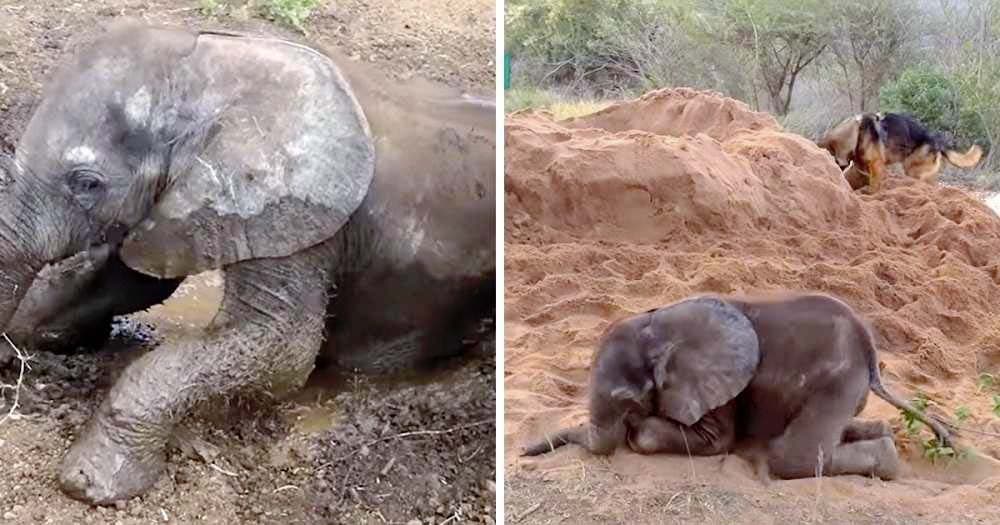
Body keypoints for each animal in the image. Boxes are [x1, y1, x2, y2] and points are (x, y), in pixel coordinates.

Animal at [0, 21, 494, 504]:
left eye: (87, 183)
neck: (212, 64)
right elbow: (130, 281)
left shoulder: (298, 216)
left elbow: (283, 350)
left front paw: (89, 483)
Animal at [520, 292, 948, 482]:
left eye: (626, 401)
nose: (524, 452)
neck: (658, 327)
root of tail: (870, 353)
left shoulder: (719, 388)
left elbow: (716, 441)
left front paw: (636, 429)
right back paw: (881, 435)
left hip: (837, 380)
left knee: (791, 458)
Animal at [820, 112, 984, 192]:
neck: (857, 132)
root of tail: (936, 141)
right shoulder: (862, 169)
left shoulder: (877, 167)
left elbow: (874, 188)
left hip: (912, 169)